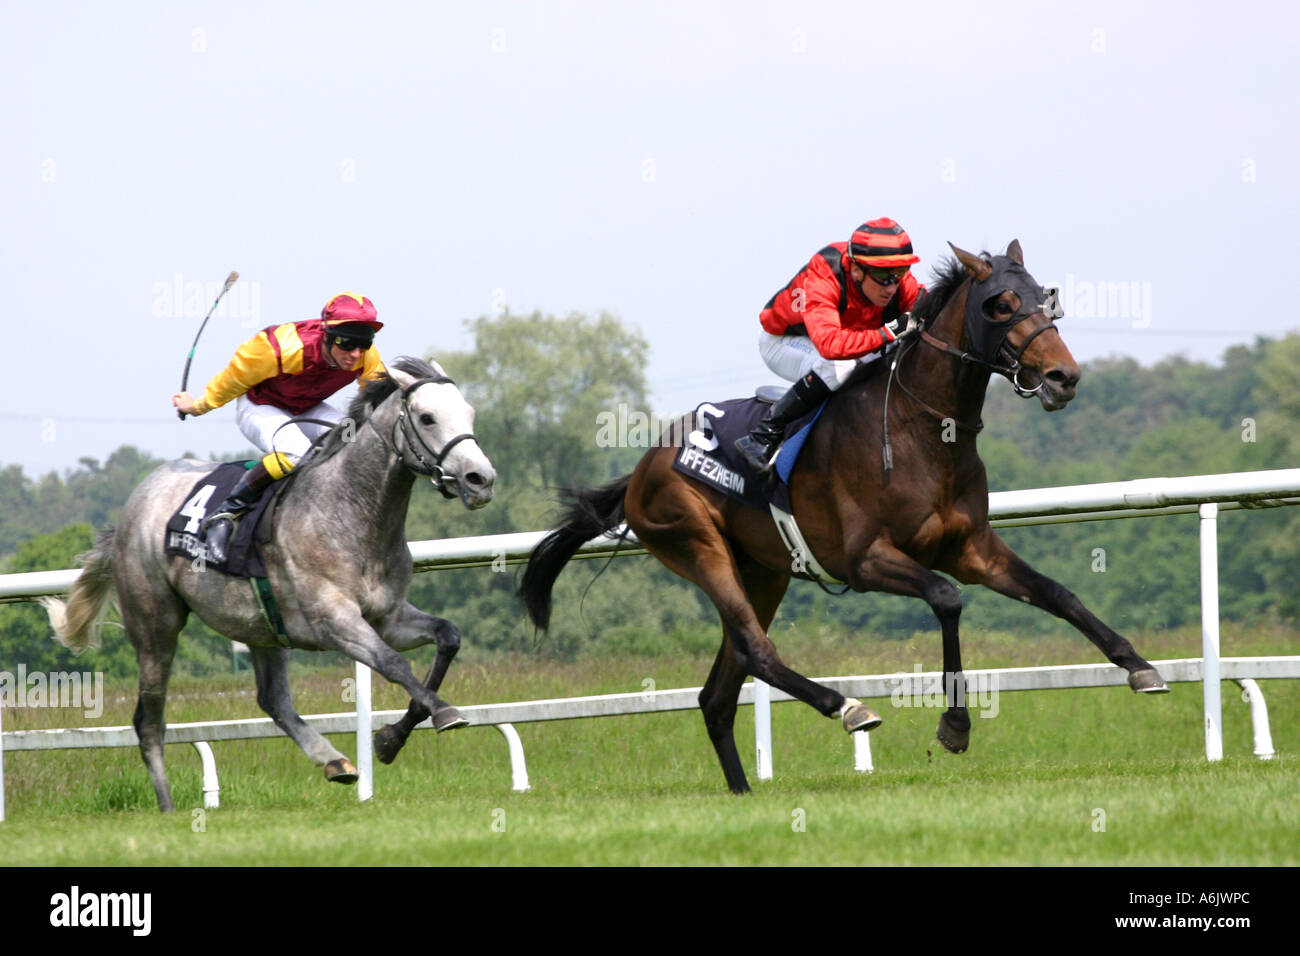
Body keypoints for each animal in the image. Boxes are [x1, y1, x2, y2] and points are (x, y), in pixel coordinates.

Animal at [43, 356, 491, 811]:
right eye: (427, 417)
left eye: (469, 413)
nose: (480, 479)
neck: (352, 514)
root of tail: (132, 507)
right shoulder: (334, 622)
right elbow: (394, 663)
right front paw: (442, 714)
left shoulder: (390, 617)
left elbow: (448, 637)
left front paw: (390, 739)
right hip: (155, 626)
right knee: (148, 720)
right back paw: (168, 808)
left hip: (260, 627)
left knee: (273, 699)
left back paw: (334, 760)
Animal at [517, 243, 1170, 796]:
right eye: (1002, 305)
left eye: (1045, 298)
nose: (1065, 376)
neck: (920, 428)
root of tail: (643, 465)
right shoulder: (865, 560)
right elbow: (947, 598)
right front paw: (954, 725)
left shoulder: (973, 548)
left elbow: (1059, 594)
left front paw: (1139, 667)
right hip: (697, 545)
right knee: (757, 652)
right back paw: (848, 708)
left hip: (764, 572)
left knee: (717, 692)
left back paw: (743, 792)